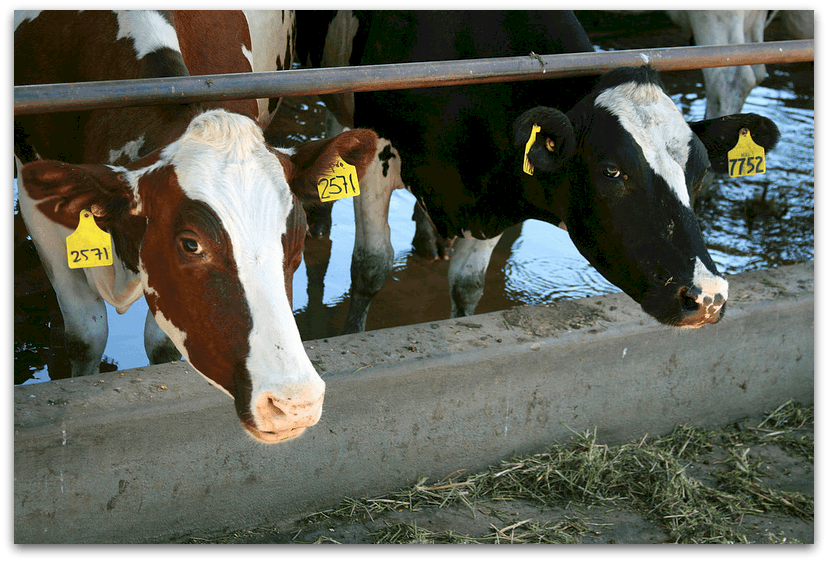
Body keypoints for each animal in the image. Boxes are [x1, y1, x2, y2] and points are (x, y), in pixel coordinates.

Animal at [14, 10, 378, 443]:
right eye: (191, 244)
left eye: (296, 237)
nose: (294, 403)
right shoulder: (34, 195)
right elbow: (85, 335)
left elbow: (161, 345)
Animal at [305, 10, 779, 333]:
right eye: (612, 171)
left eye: (698, 176)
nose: (708, 297)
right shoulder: (378, 152)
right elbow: (370, 268)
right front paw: (350, 336)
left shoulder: (497, 189)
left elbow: (466, 285)